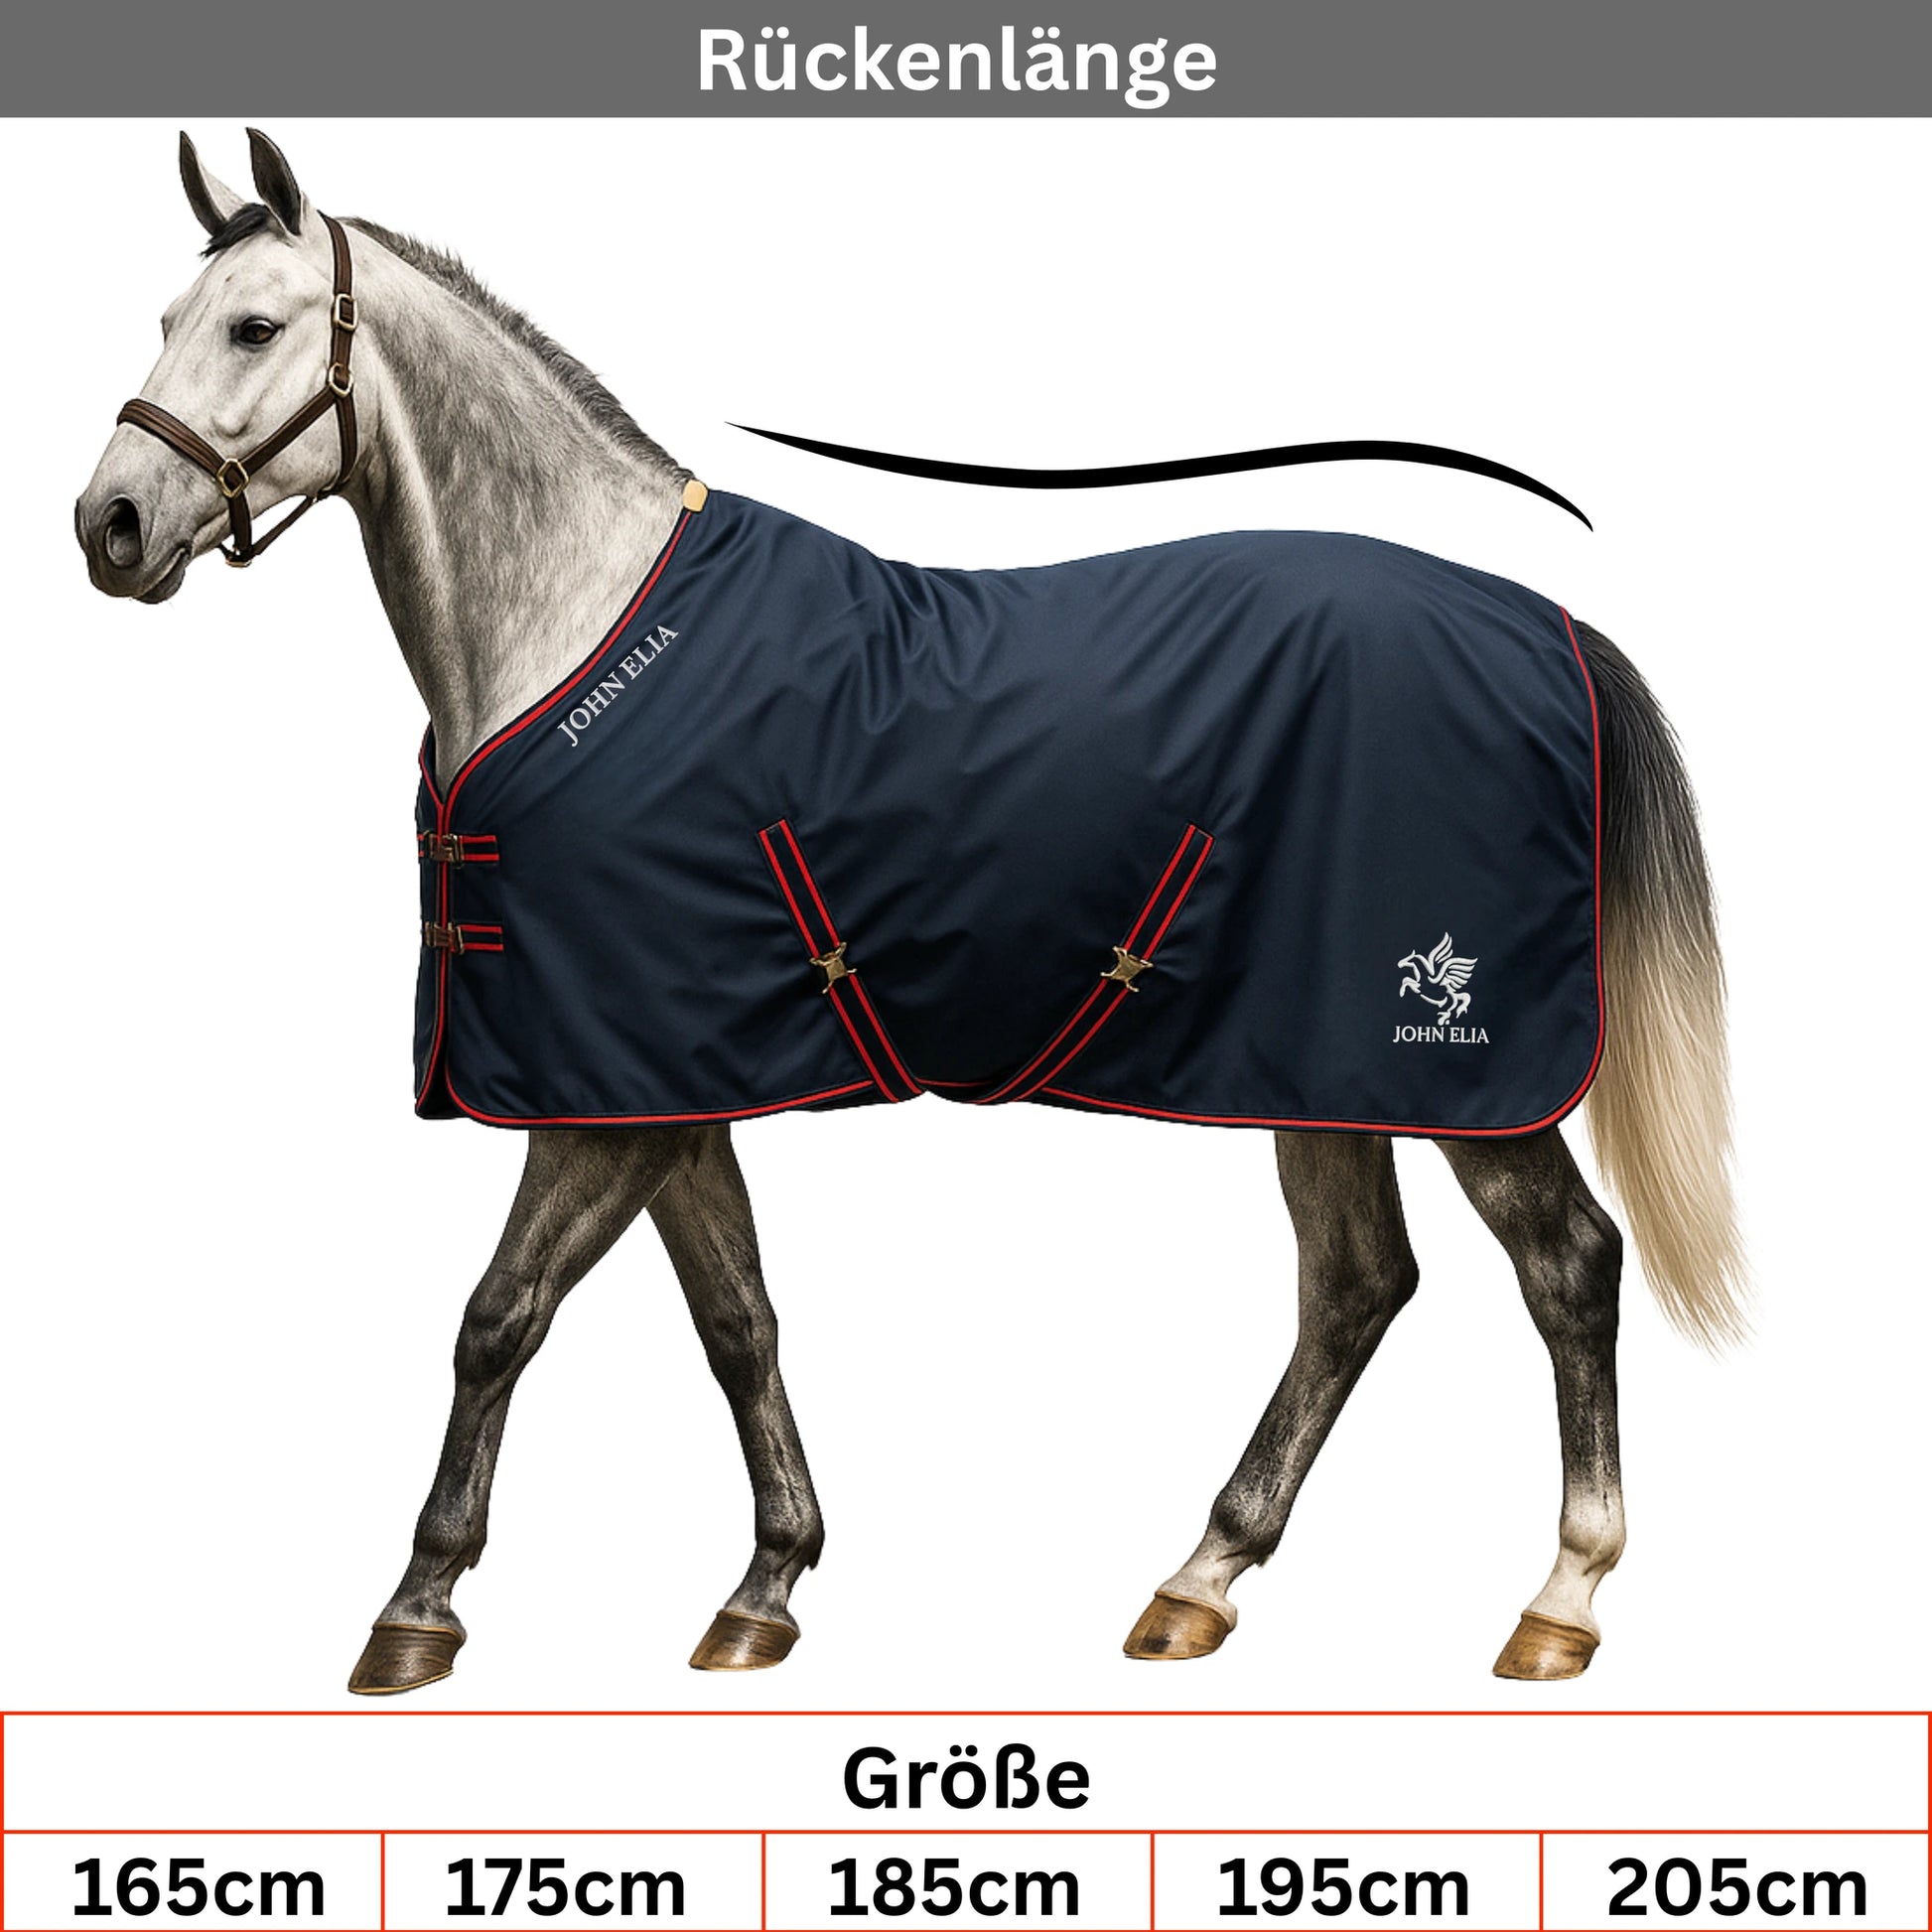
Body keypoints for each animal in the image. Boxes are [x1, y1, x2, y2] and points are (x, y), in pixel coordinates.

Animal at [75, 130, 1744, 1697]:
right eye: (166, 316)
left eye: (254, 325)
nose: (110, 523)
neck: (578, 627)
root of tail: (1547, 631)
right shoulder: (665, 1084)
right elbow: (736, 1318)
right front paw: (765, 1585)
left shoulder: (608, 1099)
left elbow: (499, 1314)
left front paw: (417, 1606)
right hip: (1313, 1068)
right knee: (1353, 1285)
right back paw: (1198, 1578)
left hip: (1449, 1066)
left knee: (1563, 1266)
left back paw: (1557, 1600)